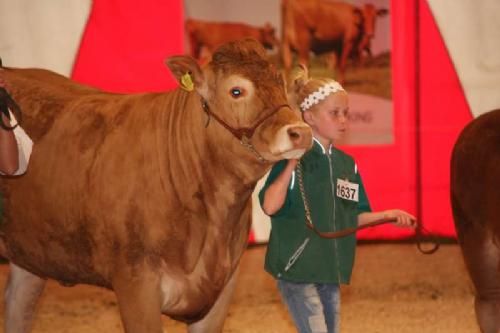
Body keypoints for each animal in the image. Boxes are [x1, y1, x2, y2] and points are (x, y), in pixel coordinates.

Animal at [0, 37, 312, 330]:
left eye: (282, 84)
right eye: (236, 91)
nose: (301, 132)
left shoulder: (223, 289)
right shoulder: (135, 284)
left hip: (31, 256)